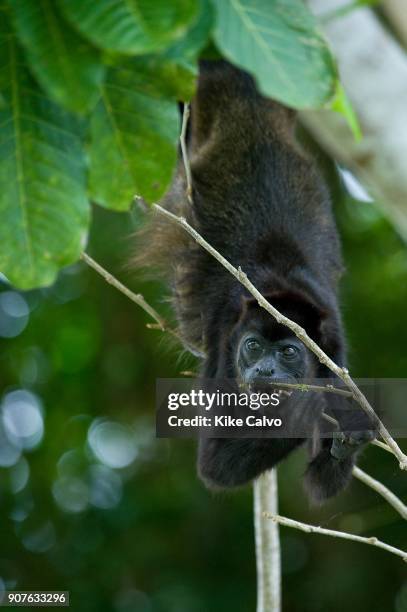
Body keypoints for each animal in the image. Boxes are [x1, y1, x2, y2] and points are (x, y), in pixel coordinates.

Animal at [138, 58, 376, 502]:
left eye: (288, 352)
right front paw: (308, 408)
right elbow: (215, 464)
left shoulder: (334, 349)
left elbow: (320, 485)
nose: (265, 372)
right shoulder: (224, 334)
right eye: (253, 347)